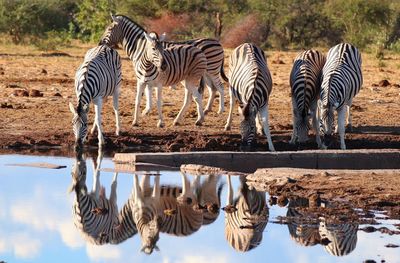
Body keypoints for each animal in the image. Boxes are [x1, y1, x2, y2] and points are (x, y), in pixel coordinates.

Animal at [99, 14, 227, 127]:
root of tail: (217, 42)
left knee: (220, 87)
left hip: (212, 70)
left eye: (109, 29)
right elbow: (147, 93)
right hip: (203, 74)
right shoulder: (145, 78)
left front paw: (147, 111)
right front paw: (146, 111)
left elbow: (148, 94)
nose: (100, 43)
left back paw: (220, 110)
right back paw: (204, 111)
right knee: (211, 90)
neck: (140, 47)